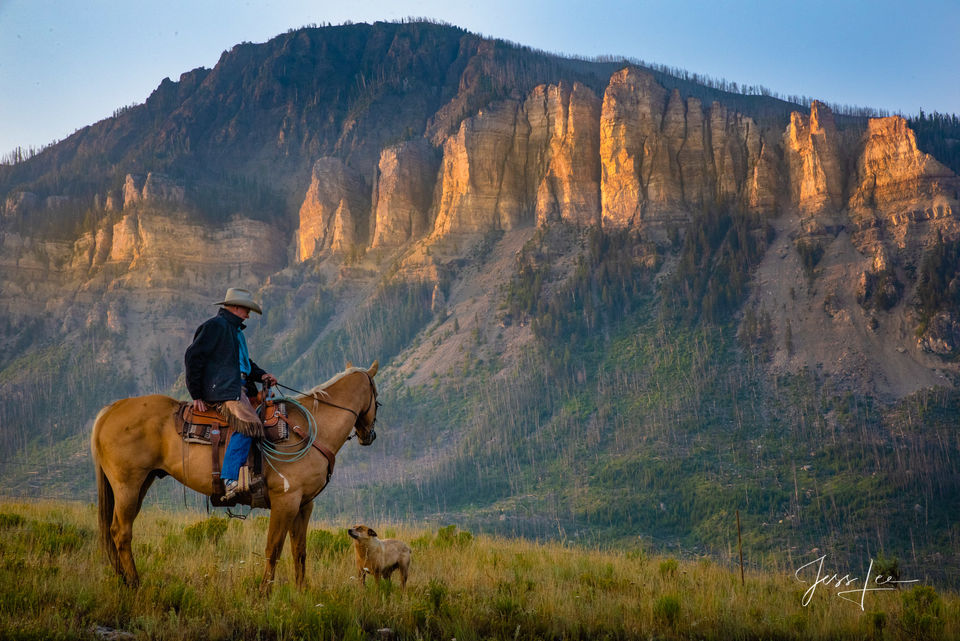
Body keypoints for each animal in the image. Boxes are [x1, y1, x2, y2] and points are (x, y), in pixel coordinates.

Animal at [89, 360, 376, 592]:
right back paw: (134, 583)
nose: (369, 435)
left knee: (115, 531)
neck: (307, 429)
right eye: (377, 395)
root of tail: (110, 409)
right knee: (122, 532)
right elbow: (273, 549)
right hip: (127, 485)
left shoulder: (304, 505)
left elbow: (299, 551)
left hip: (140, 484)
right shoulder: (285, 502)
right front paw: (264, 593)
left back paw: (122, 578)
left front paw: (301, 591)